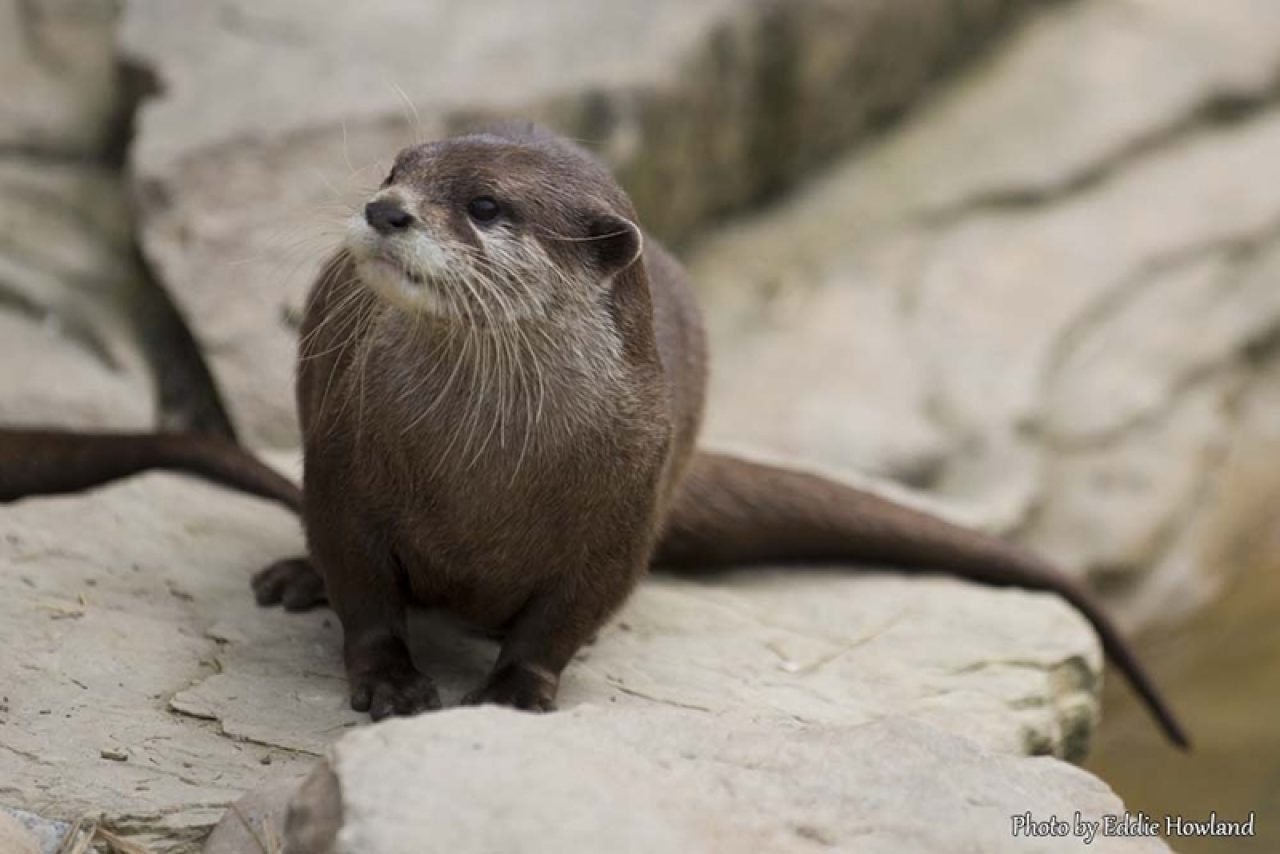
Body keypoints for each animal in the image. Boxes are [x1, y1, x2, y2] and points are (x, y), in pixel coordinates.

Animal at [0, 126, 1182, 747]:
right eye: (393, 168)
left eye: (484, 205)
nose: (384, 210)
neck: (480, 473)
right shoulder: (342, 468)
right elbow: (364, 584)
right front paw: (387, 680)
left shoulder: (626, 507)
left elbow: (566, 613)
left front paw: (518, 691)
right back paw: (292, 577)